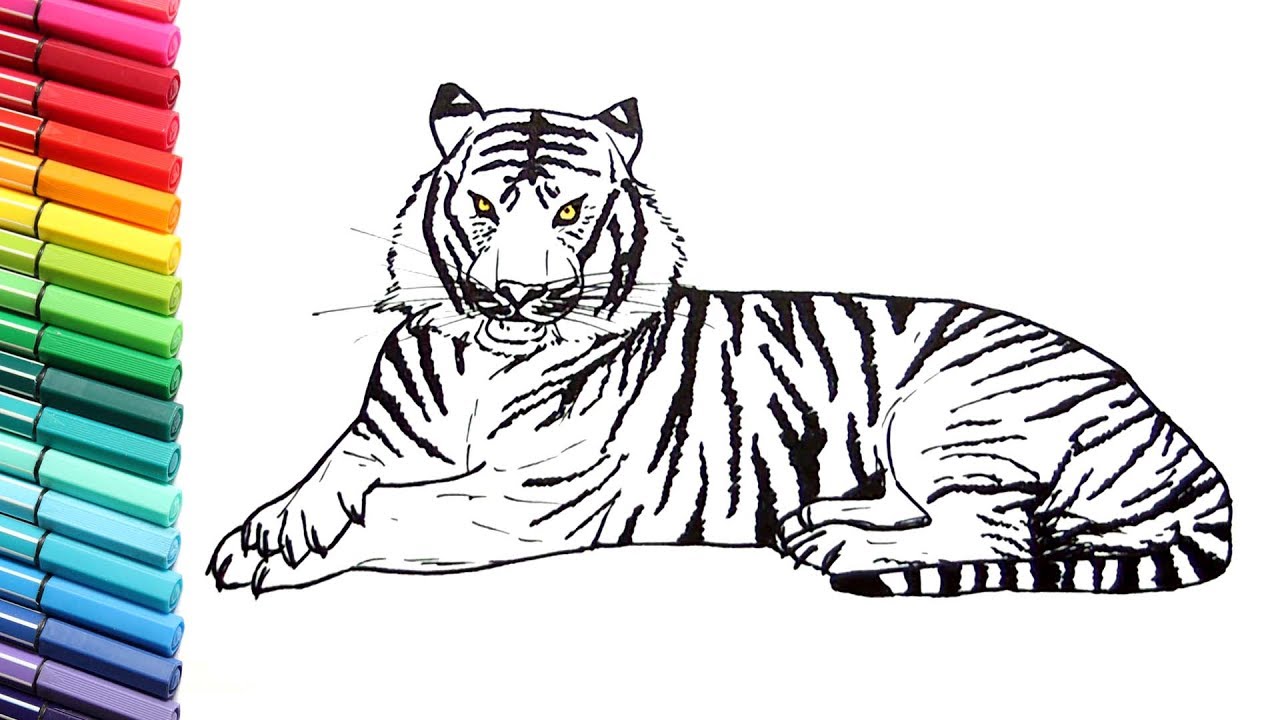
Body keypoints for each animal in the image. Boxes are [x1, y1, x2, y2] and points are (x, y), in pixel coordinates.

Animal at [209, 83, 1231, 598]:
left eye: (571, 213)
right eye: (487, 207)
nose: (520, 295)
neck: (477, 361)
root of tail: (1164, 422)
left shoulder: (525, 503)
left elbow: (394, 513)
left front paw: (270, 560)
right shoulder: (379, 440)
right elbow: (334, 475)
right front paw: (268, 528)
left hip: (953, 412)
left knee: (992, 533)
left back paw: (844, 552)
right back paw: (819, 527)